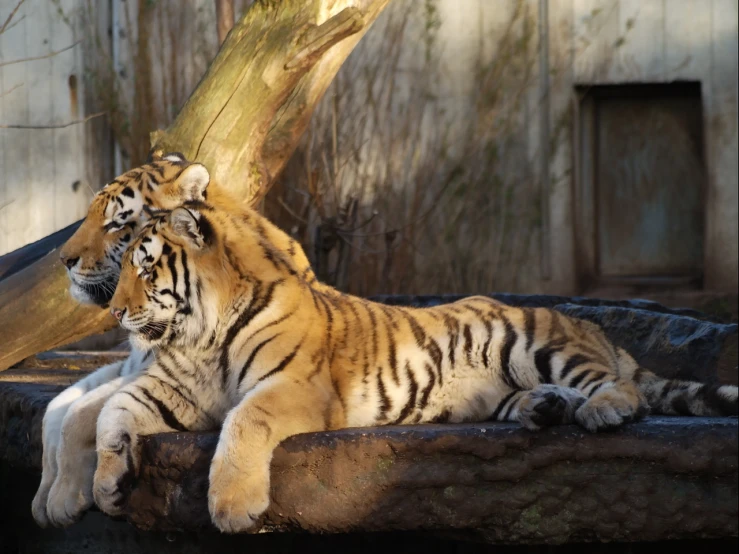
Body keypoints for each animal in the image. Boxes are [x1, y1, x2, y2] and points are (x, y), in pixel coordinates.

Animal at [32, 151, 324, 528]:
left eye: (116, 224)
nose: (64, 260)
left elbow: (78, 415)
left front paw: (63, 500)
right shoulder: (129, 365)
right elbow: (57, 408)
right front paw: (42, 498)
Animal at [97, 197, 736, 532]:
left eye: (146, 267)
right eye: (124, 264)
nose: (114, 310)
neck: (197, 336)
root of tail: (590, 325)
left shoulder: (294, 385)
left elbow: (243, 420)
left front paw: (230, 507)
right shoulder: (173, 389)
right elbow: (112, 413)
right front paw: (107, 486)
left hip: (537, 344)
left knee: (620, 389)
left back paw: (600, 411)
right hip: (502, 385)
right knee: (541, 398)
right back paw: (545, 408)